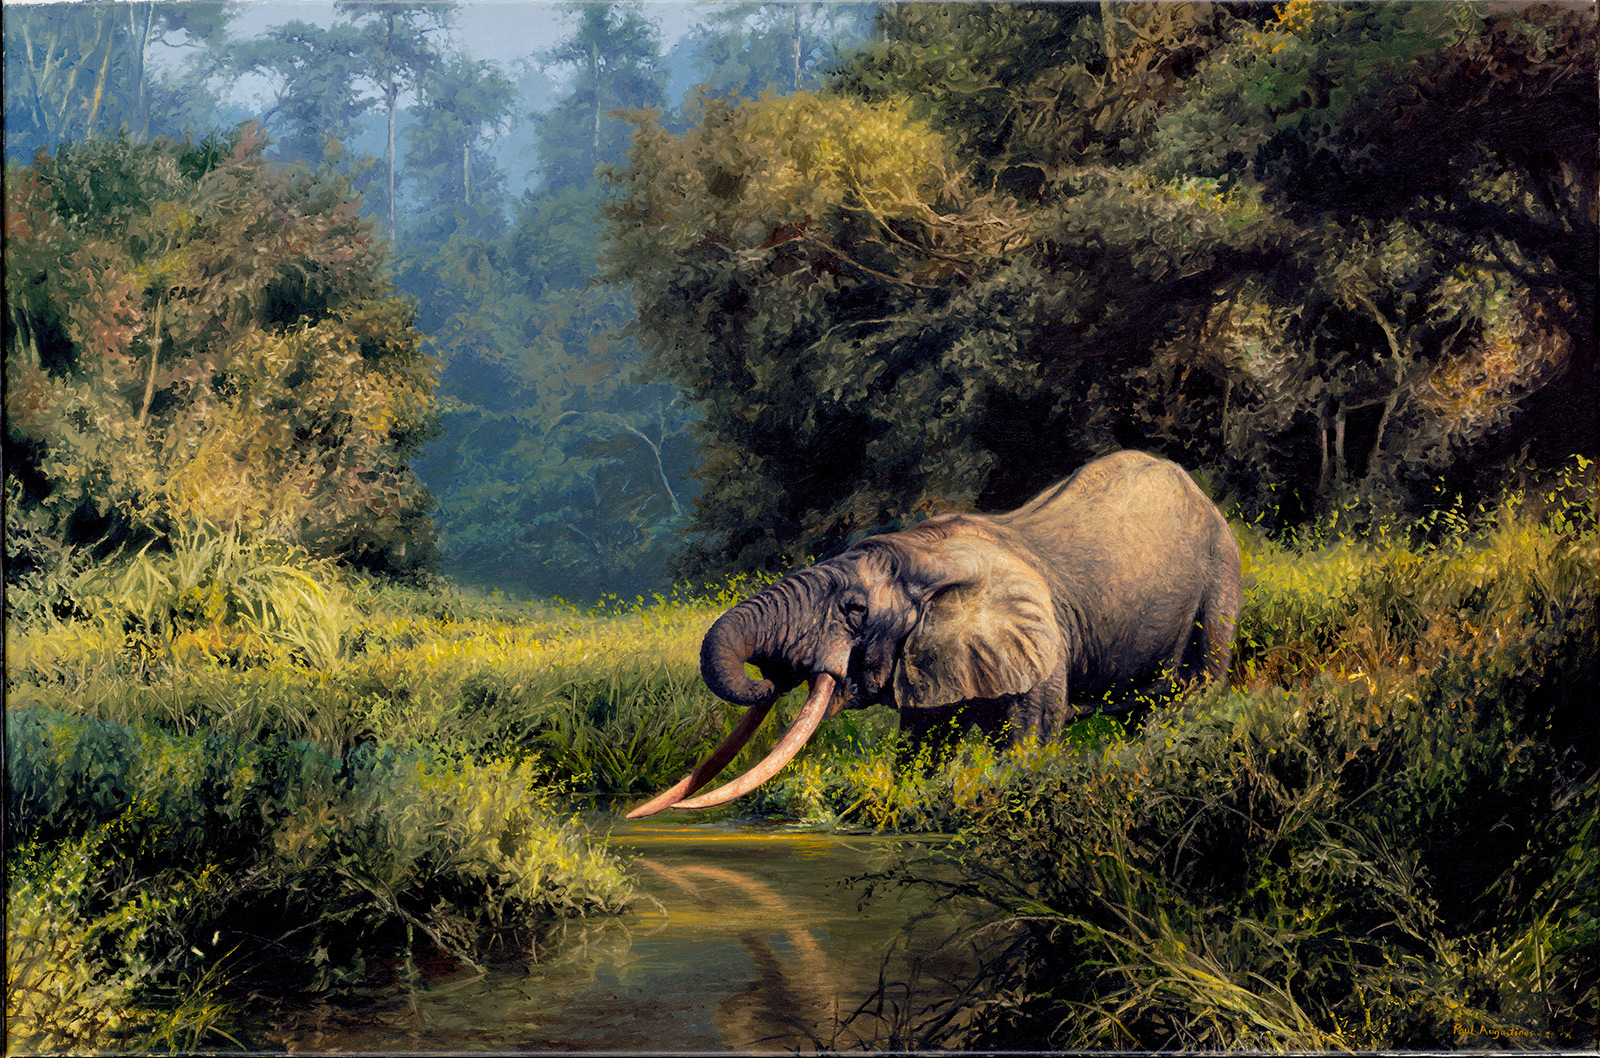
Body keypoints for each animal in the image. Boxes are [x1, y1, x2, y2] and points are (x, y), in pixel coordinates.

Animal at [627, 451, 1241, 818]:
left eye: (855, 610)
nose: (764, 681)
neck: (923, 553)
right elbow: (922, 743)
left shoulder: (1043, 648)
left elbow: (1030, 741)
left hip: (1221, 577)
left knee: (1196, 686)